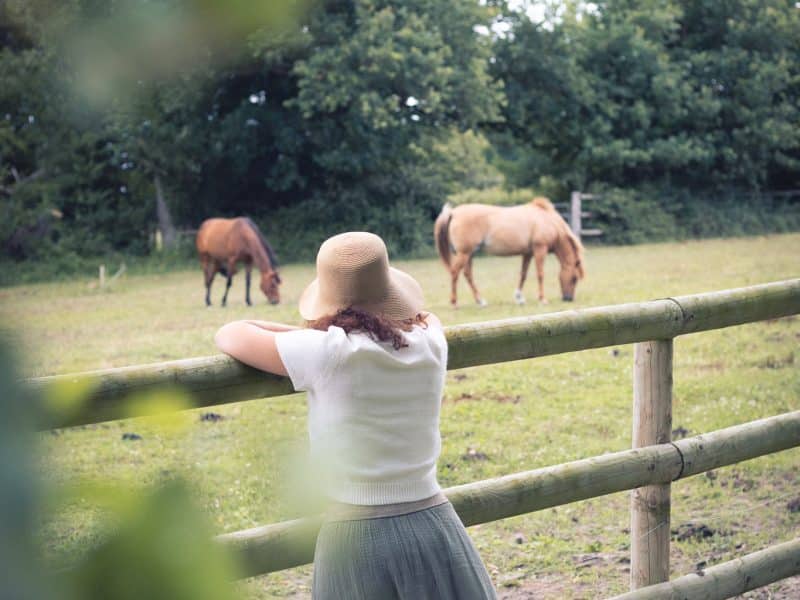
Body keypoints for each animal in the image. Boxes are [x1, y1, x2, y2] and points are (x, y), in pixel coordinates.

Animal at [433, 197, 585, 306]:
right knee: (455, 273)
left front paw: (519, 298)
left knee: (467, 275)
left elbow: (523, 275)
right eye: (574, 278)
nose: (568, 299)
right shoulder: (540, 249)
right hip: (464, 253)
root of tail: (453, 213)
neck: (547, 220)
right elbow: (540, 274)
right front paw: (542, 299)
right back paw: (454, 302)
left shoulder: (528, 253)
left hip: (469, 254)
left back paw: (480, 301)